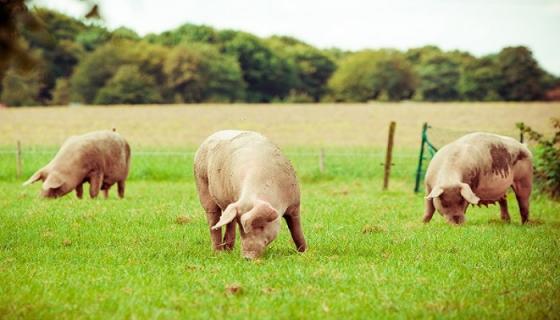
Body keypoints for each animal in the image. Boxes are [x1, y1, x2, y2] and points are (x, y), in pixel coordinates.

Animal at [192, 130, 306, 260]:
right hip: (202, 183)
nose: (247, 257)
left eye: (261, 226)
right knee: (213, 220)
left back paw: (228, 251)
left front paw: (304, 252)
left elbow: (296, 230)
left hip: (230, 205)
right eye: (241, 229)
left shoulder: (295, 204)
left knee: (228, 221)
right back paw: (218, 253)